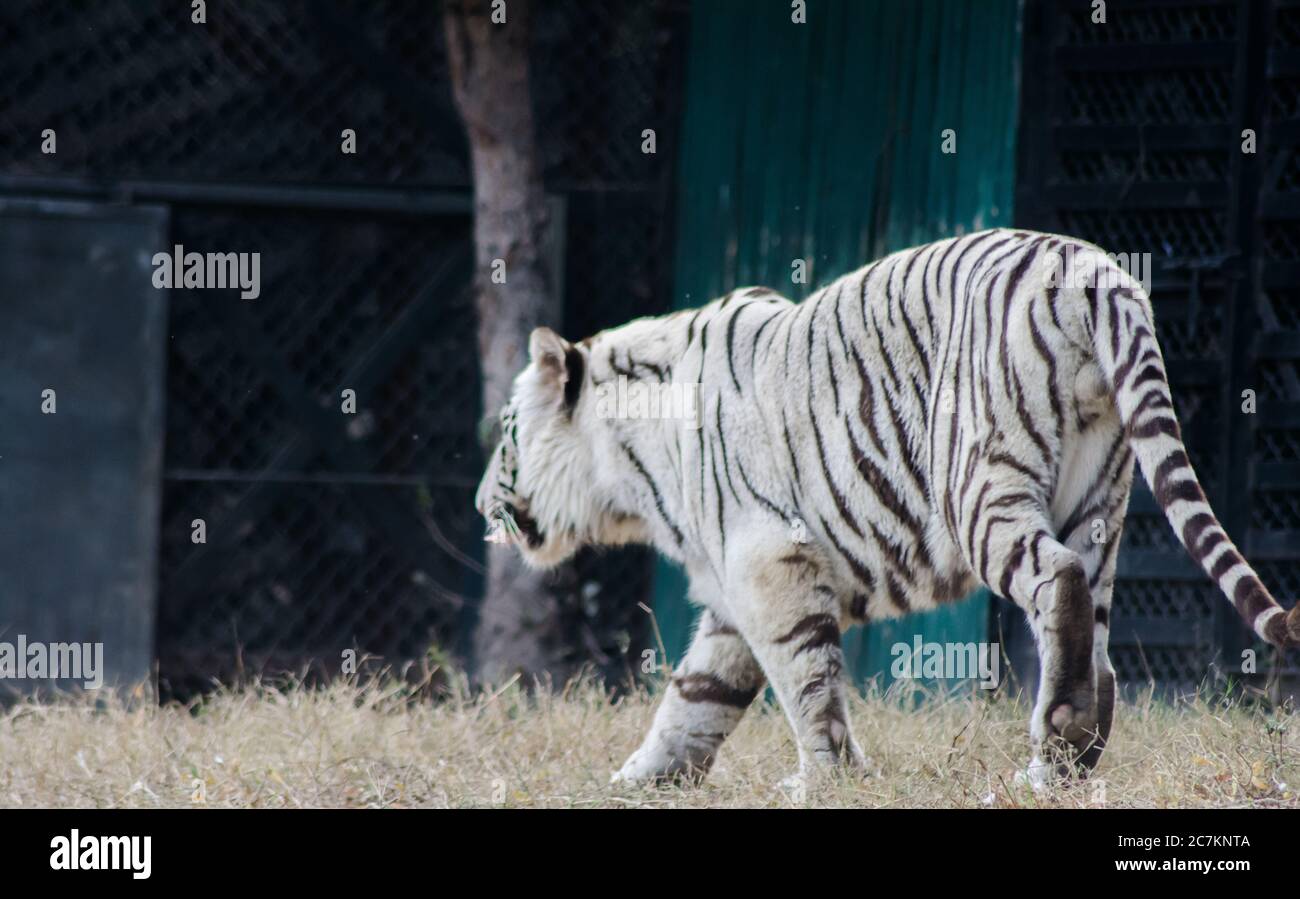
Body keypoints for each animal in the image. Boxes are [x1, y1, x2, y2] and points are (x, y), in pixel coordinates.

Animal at [474, 228, 1300, 789]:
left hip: (979, 485)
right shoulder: (731, 595)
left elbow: (805, 681)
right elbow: (694, 697)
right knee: (1096, 635)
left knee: (1056, 580)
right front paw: (635, 780)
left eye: (507, 433)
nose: (482, 504)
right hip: (1098, 496)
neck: (630, 470)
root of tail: (1096, 270)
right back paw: (1066, 758)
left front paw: (825, 778)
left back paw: (1057, 738)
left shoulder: (768, 563)